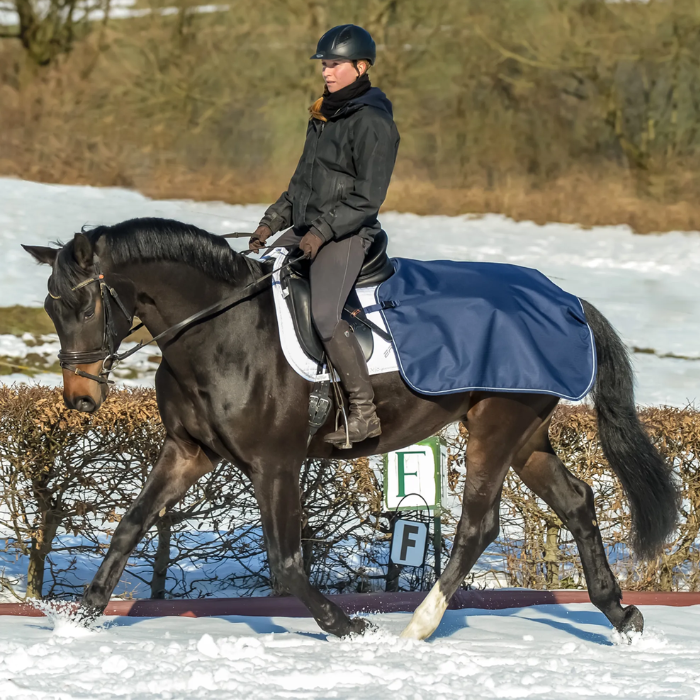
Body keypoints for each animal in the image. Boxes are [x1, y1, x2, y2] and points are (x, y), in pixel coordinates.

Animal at [23, 217, 678, 641]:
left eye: (85, 306)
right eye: (53, 309)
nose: (80, 399)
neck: (219, 331)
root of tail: (565, 298)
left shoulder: (274, 463)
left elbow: (287, 561)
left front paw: (345, 624)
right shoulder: (188, 451)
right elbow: (130, 525)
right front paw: (82, 615)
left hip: (498, 424)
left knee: (477, 527)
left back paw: (417, 626)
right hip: (525, 433)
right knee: (577, 501)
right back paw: (620, 614)